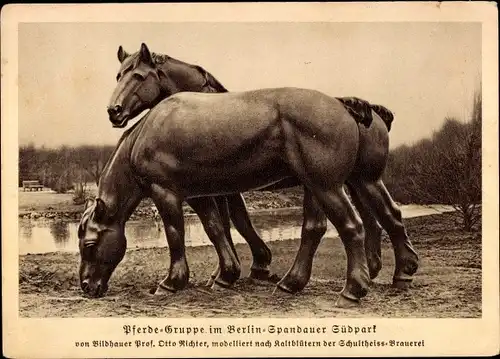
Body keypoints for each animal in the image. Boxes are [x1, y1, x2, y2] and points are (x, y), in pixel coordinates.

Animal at [104, 43, 418, 296]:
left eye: (138, 76)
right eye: (118, 76)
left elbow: (235, 223)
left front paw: (246, 268)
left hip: (341, 183)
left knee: (365, 221)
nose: (113, 111)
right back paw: (395, 272)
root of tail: (362, 109)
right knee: (386, 216)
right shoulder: (221, 189)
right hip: (362, 181)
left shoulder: (224, 190)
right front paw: (235, 271)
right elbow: (230, 224)